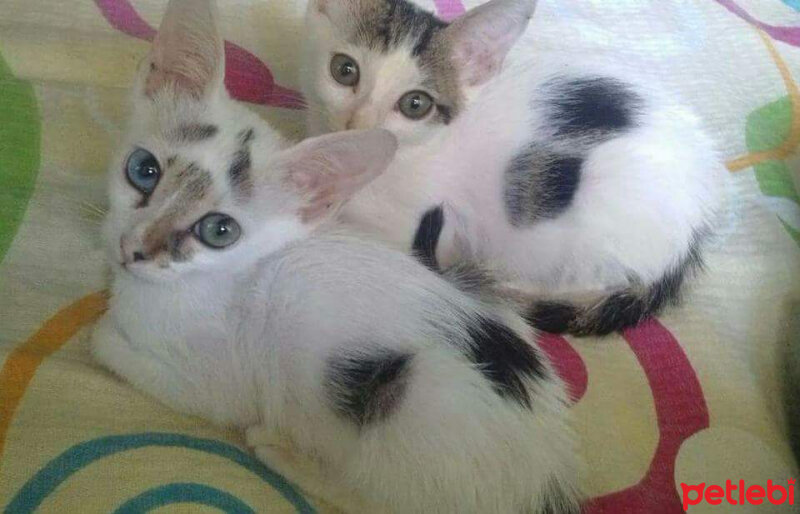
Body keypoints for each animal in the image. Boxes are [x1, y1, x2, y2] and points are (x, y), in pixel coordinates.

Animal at [90, 1, 580, 512]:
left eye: (219, 231)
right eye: (143, 170)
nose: (135, 248)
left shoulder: (219, 386)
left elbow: (106, 342)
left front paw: (107, 328)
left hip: (416, 400)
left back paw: (283, 453)